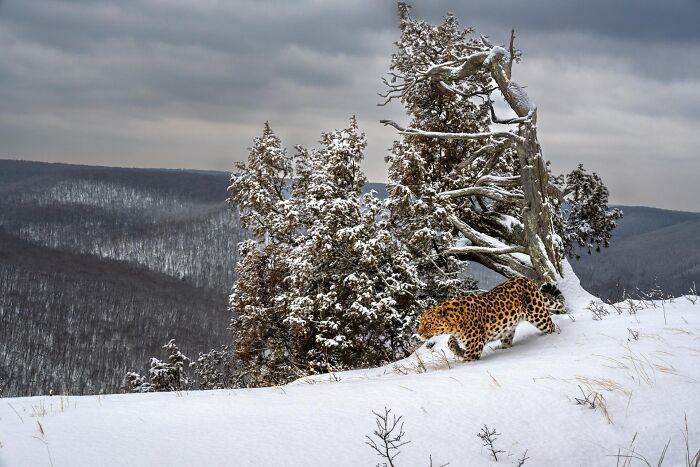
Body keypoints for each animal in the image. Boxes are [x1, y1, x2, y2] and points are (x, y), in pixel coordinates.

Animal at [417, 277, 566, 361]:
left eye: (427, 324)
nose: (419, 333)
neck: (454, 322)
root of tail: (527, 280)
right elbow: (449, 342)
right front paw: (459, 351)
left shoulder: (475, 346)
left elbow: (467, 360)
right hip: (508, 331)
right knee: (507, 342)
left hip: (539, 315)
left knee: (551, 326)